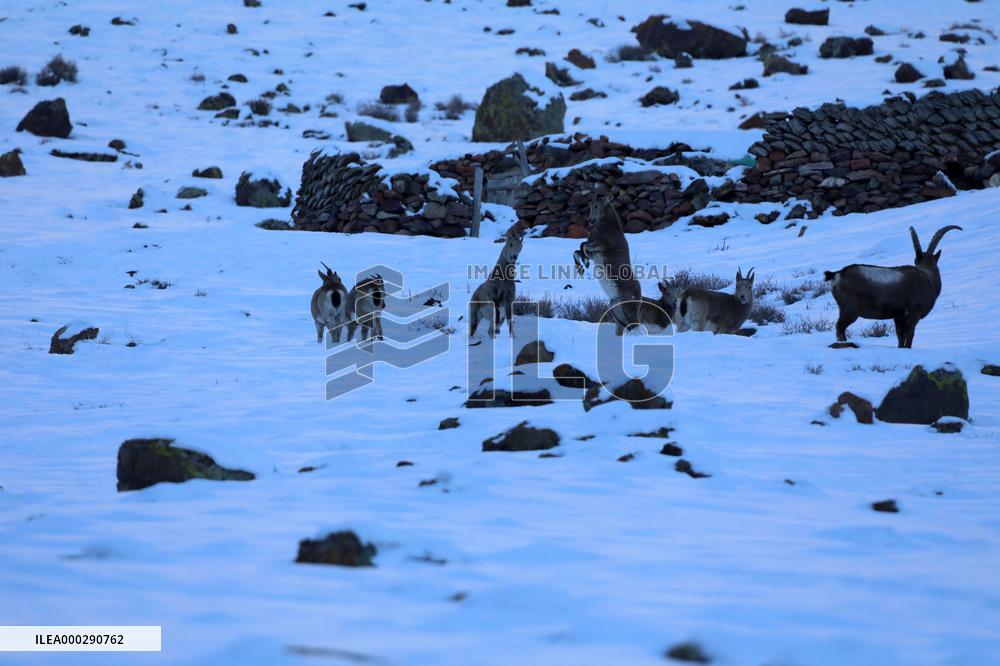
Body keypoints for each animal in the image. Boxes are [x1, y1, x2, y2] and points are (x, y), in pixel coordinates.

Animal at [824, 225, 961, 348]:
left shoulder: (898, 317)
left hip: (842, 308)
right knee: (840, 326)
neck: (928, 277)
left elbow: (900, 336)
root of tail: (837, 274)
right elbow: (909, 335)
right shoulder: (913, 314)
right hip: (852, 309)